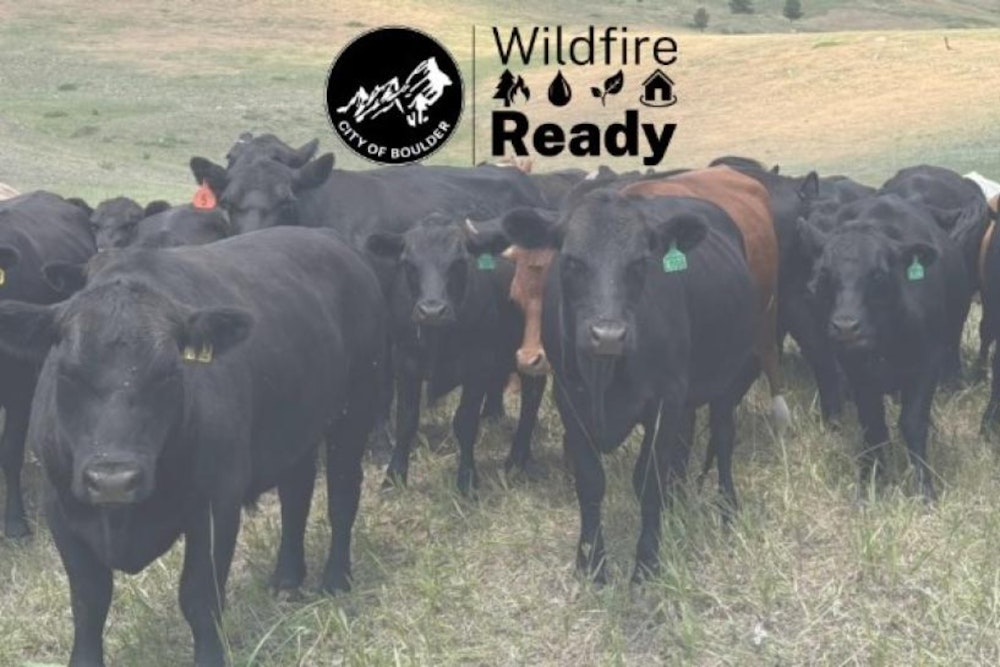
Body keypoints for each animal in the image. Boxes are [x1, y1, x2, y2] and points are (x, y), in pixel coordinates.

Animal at [0, 226, 385, 666]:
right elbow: (88, 603)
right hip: (297, 427)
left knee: (342, 493)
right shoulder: (61, 508)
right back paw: (287, 578)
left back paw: (336, 579)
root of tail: (328, 237)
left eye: (170, 371)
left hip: (356, 407)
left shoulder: (216, 504)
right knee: (296, 493)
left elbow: (200, 598)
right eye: (66, 371)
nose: (113, 481)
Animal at [365, 214, 545, 494]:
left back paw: (516, 459)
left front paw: (467, 480)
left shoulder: (478, 364)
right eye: (409, 263)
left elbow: (465, 422)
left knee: (531, 399)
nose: (432, 310)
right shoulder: (405, 362)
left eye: (459, 262)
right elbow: (406, 421)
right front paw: (393, 478)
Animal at [498, 189, 758, 583]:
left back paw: (726, 508)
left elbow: (649, 480)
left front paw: (647, 563)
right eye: (572, 261)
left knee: (723, 438)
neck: (605, 375)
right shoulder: (569, 401)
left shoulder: (664, 400)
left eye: (639, 262)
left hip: (727, 381)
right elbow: (590, 481)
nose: (608, 335)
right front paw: (591, 563)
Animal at [797, 194, 970, 500]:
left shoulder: (927, 364)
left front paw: (924, 488)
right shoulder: (857, 372)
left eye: (878, 274)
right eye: (825, 274)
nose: (845, 326)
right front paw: (870, 482)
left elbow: (913, 422)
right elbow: (873, 426)